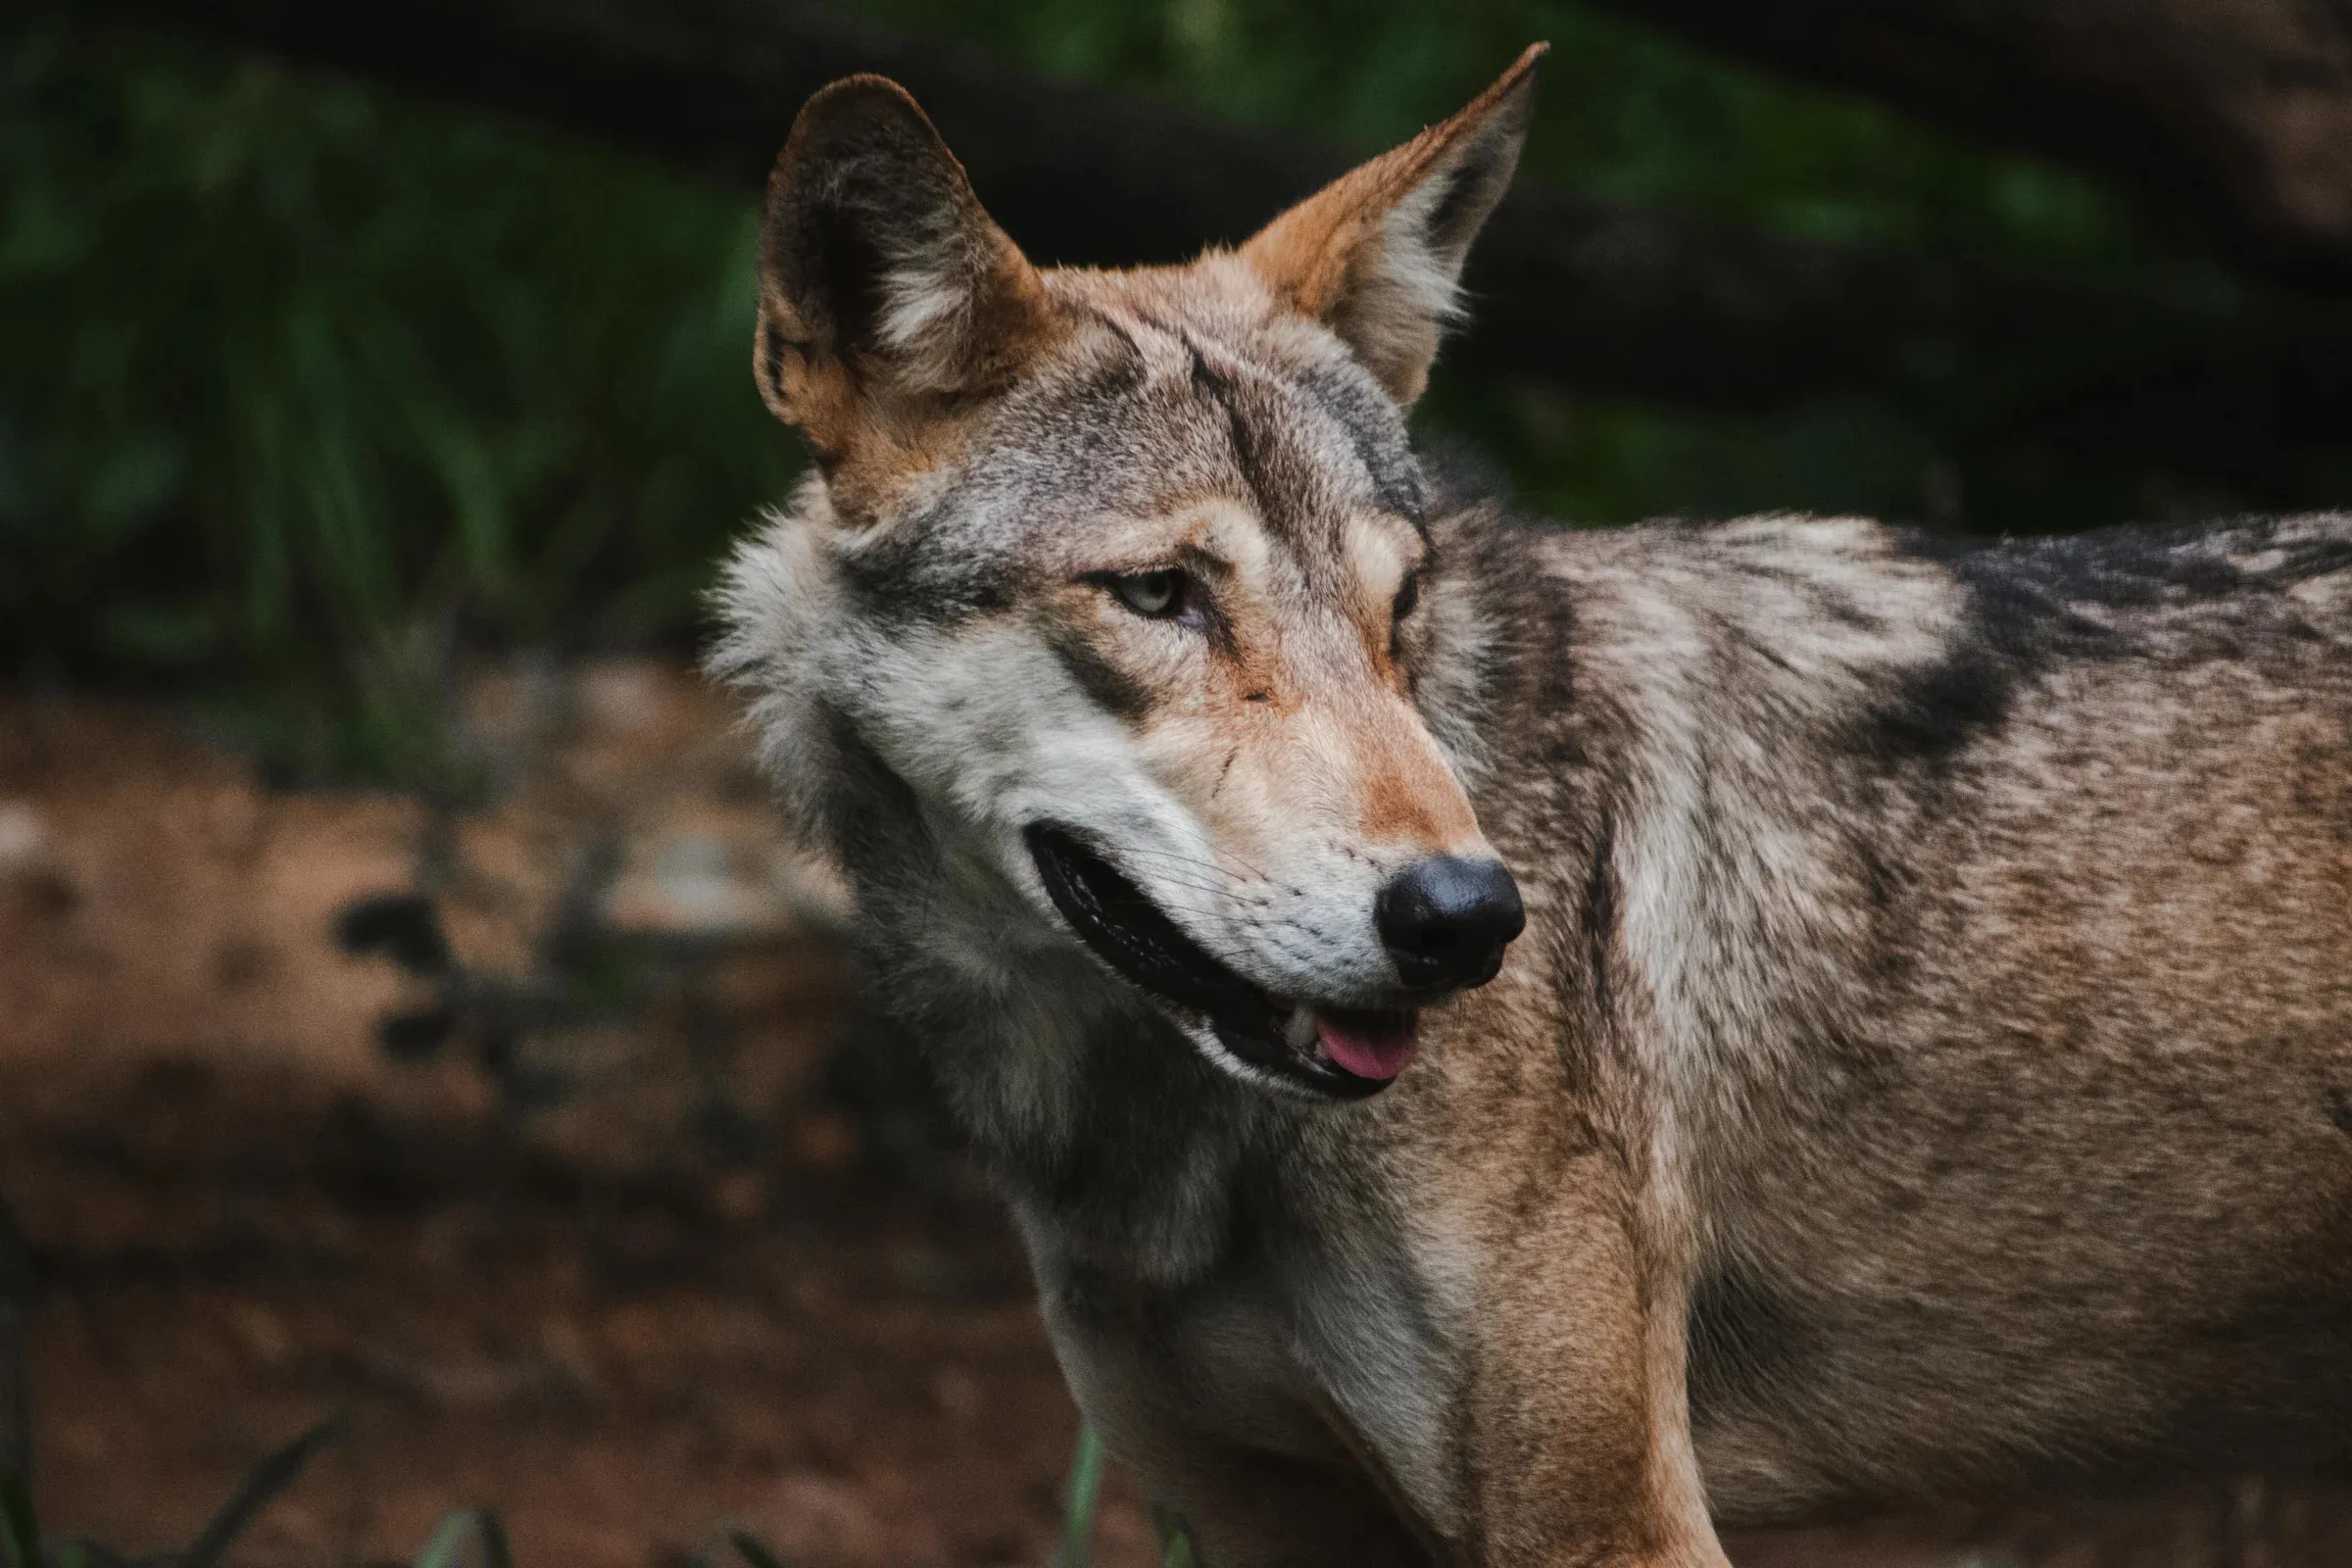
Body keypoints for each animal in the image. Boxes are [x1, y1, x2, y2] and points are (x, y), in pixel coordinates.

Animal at [710, 45, 2352, 1566]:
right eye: (1160, 596)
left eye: (1401, 607)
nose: (1470, 919)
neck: (1165, 1142)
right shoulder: (1249, 1517)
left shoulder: (1611, 1523)